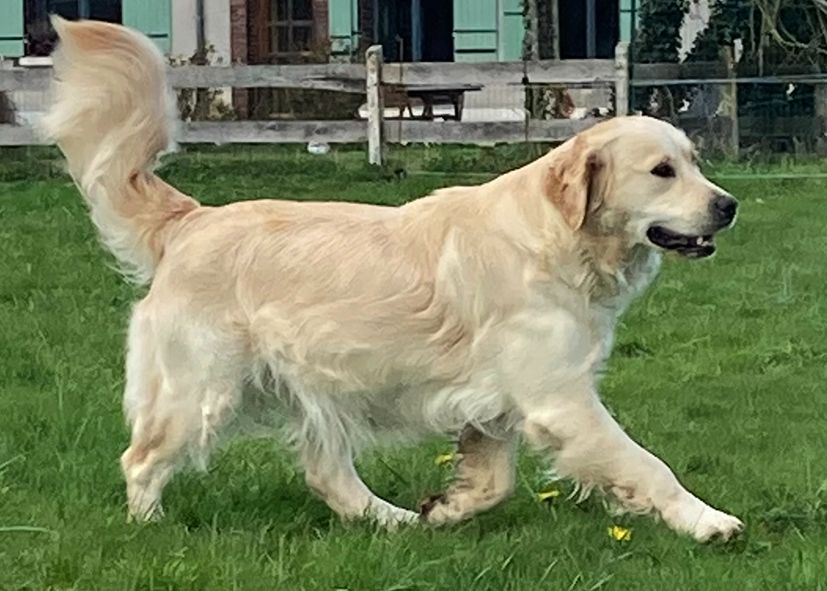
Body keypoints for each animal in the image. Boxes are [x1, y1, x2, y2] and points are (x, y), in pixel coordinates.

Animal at [42, 18, 744, 544]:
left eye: (695, 162)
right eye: (661, 171)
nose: (729, 205)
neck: (556, 240)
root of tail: (192, 220)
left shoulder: (498, 403)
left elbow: (494, 481)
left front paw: (447, 508)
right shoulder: (560, 397)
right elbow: (647, 465)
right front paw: (707, 521)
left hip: (316, 387)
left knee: (328, 474)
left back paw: (394, 519)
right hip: (203, 389)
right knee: (142, 459)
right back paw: (149, 526)